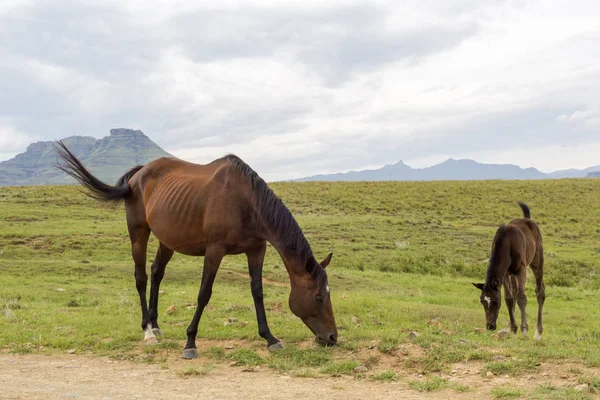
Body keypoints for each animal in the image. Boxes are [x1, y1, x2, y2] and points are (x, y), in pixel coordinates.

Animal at [55, 143, 338, 360]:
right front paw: (190, 342)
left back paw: (156, 324)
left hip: (167, 240)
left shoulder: (257, 249)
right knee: (141, 277)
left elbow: (257, 292)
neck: (246, 201)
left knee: (156, 273)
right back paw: (147, 330)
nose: (333, 337)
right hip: (138, 233)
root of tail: (139, 174)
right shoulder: (214, 251)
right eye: (317, 297)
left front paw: (270, 337)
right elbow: (204, 293)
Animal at [472, 202, 548, 340]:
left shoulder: (521, 269)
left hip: (537, 261)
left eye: (496, 301)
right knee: (515, 292)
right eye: (482, 301)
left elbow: (521, 298)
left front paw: (525, 330)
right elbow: (509, 299)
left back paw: (538, 333)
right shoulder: (506, 274)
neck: (507, 244)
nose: (490, 326)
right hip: (513, 275)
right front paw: (513, 328)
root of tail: (529, 220)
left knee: (540, 291)